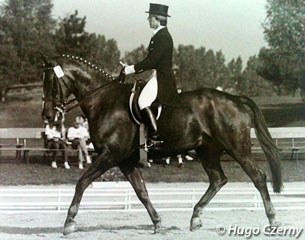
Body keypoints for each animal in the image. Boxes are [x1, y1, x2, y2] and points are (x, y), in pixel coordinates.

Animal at [39, 53, 282, 234]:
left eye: (51, 84)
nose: (48, 116)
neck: (104, 101)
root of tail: (235, 99)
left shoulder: (110, 154)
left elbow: (82, 181)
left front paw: (69, 222)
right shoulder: (125, 160)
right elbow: (141, 191)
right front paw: (157, 222)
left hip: (237, 148)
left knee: (258, 177)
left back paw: (273, 220)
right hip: (207, 150)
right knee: (218, 180)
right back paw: (195, 217)